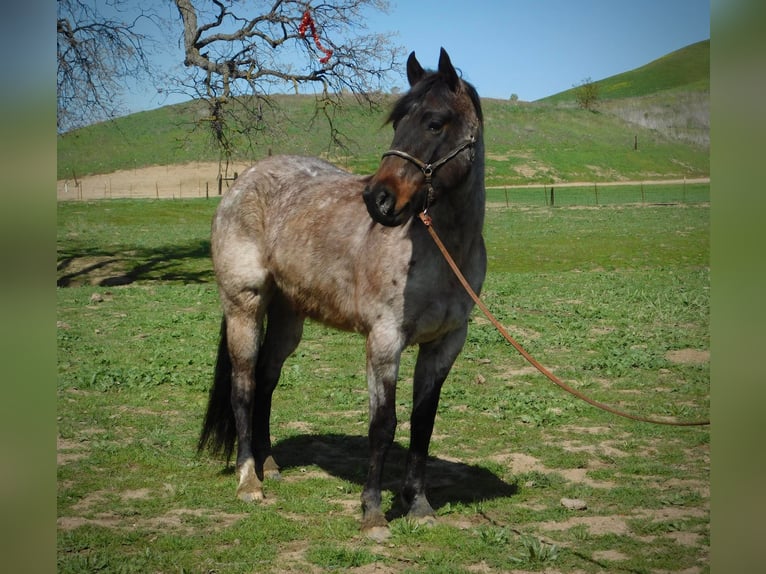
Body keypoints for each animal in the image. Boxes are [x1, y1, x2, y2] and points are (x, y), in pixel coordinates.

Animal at [198, 48, 486, 540]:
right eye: (398, 122)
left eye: (435, 123)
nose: (379, 201)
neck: (441, 250)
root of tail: (242, 183)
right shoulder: (384, 342)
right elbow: (383, 425)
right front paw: (372, 513)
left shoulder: (445, 344)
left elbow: (423, 423)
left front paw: (419, 505)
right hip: (244, 308)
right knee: (244, 386)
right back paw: (250, 480)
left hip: (288, 317)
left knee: (267, 381)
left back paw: (270, 464)